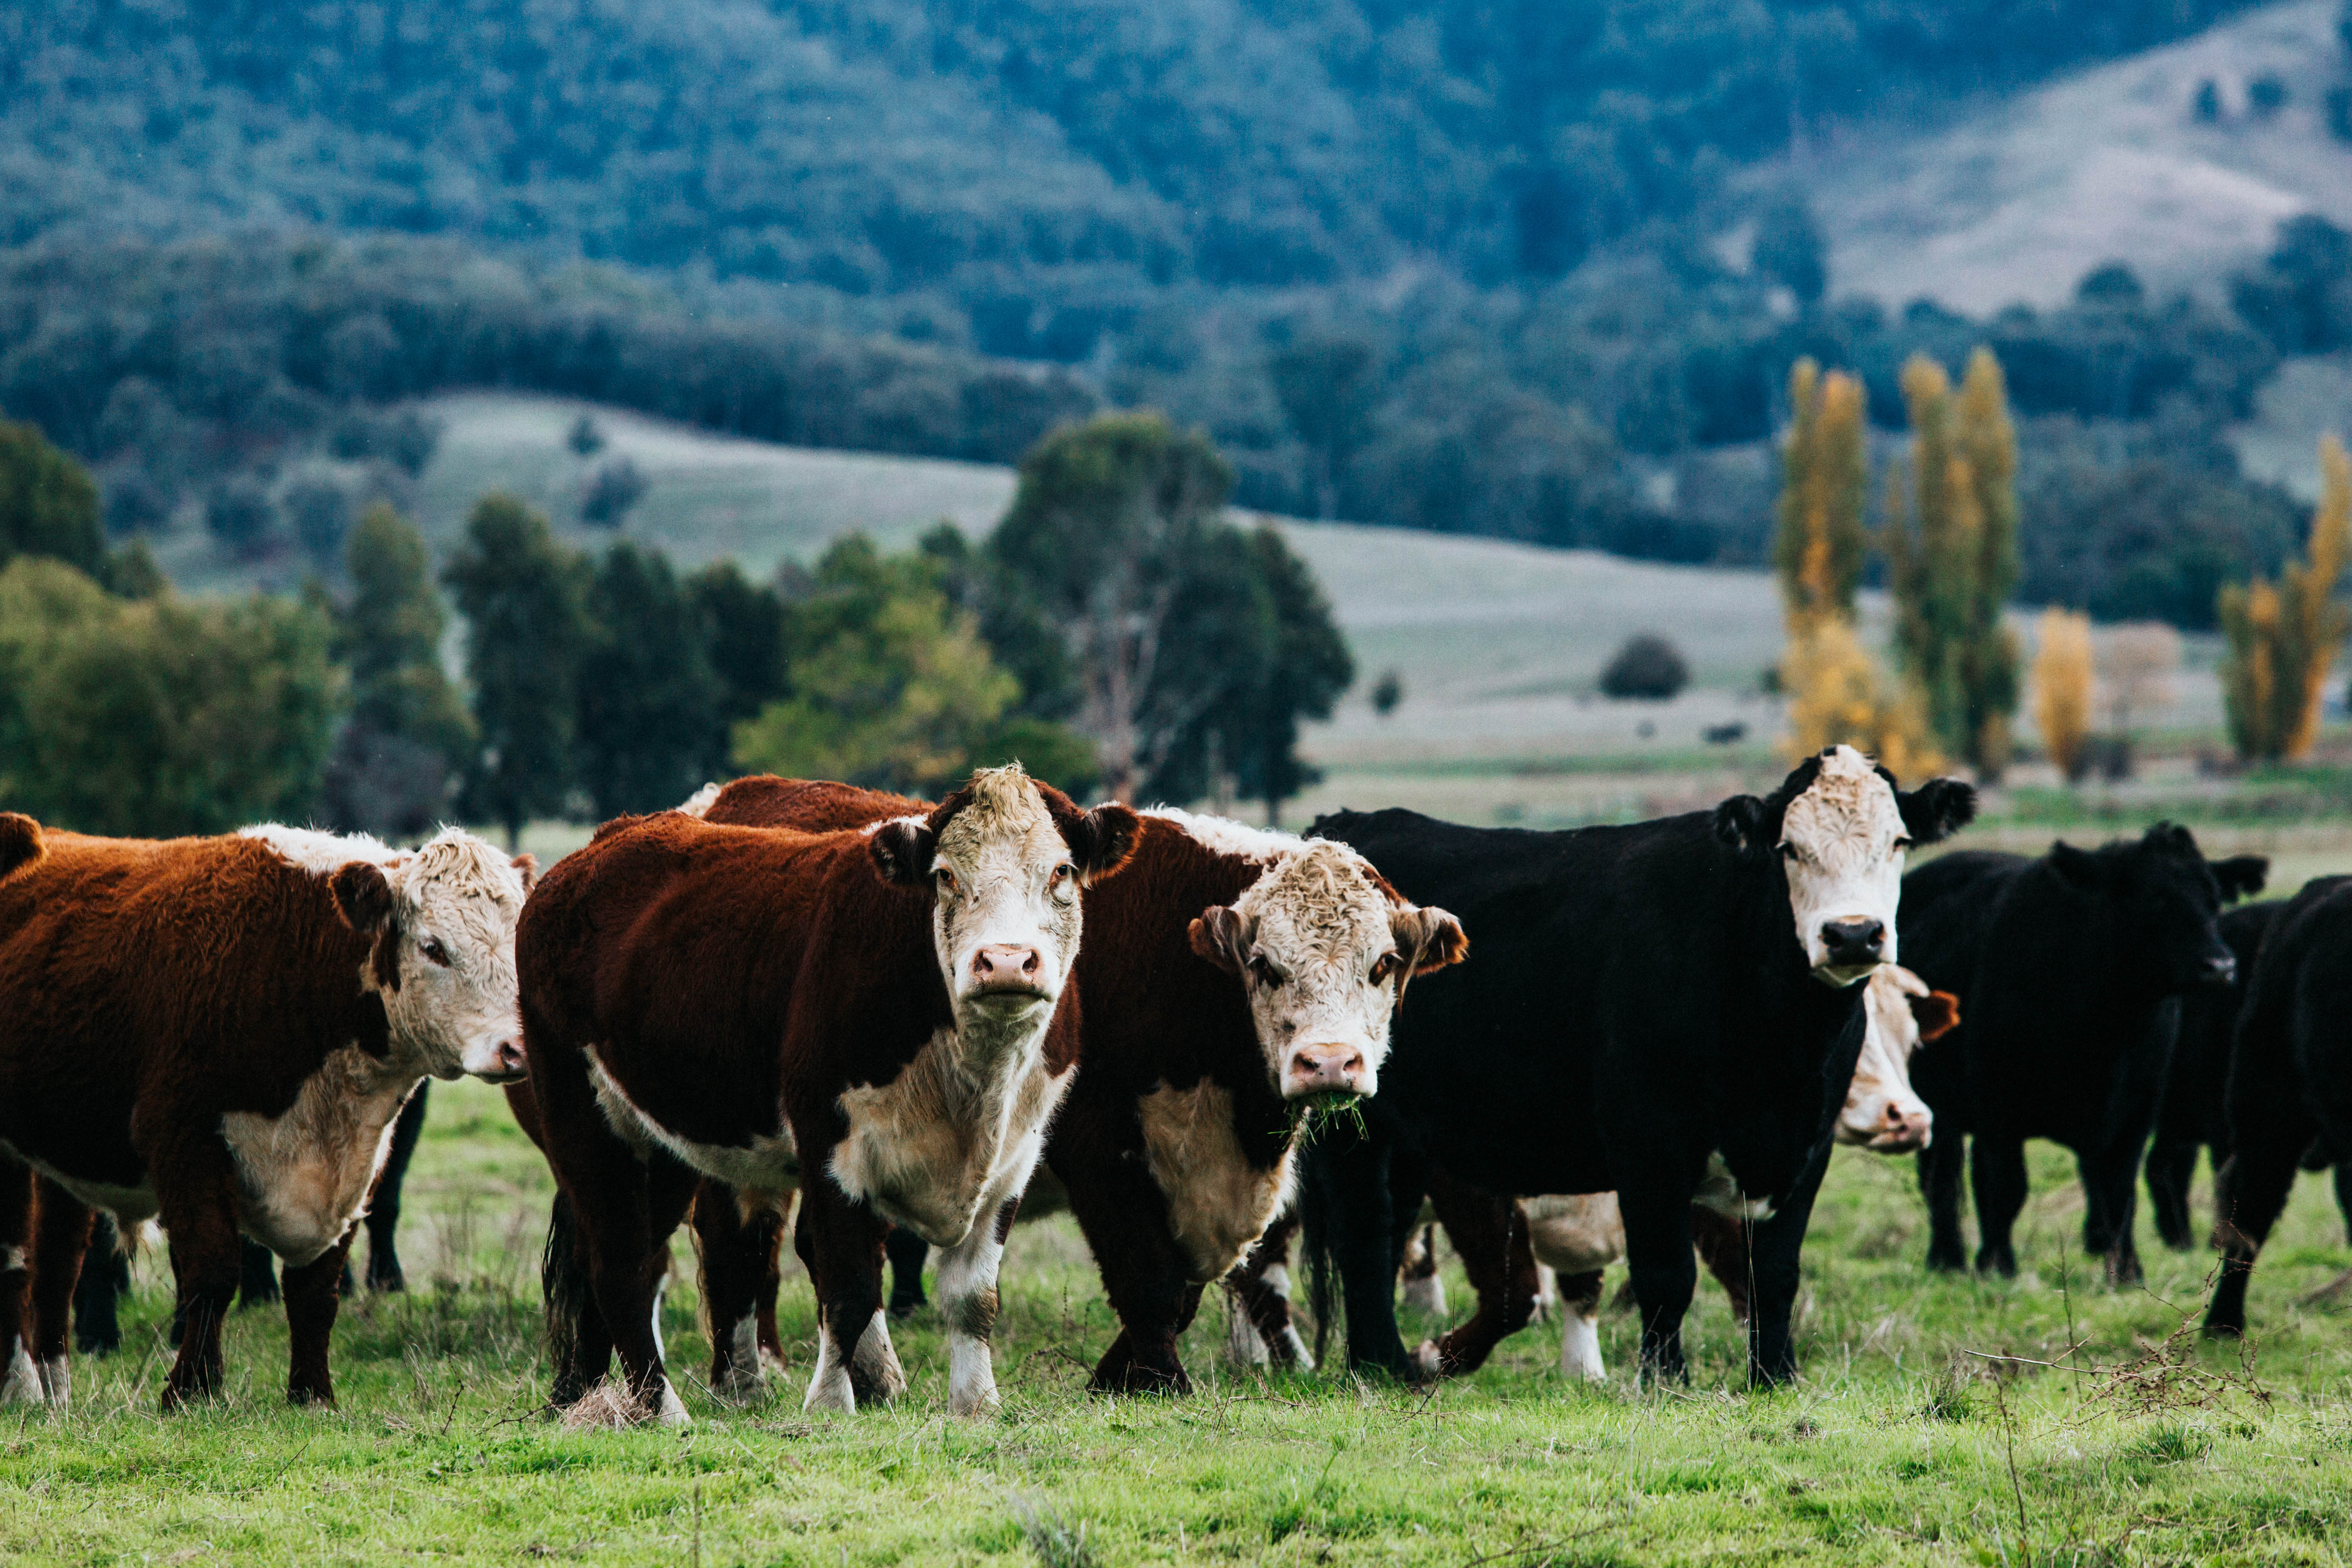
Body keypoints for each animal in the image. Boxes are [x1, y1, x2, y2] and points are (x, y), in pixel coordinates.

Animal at [0, 820, 532, 1410]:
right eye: (433, 947)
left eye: (519, 942)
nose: (516, 1049)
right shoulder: (185, 1139)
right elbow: (211, 1273)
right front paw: (192, 1390)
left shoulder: (359, 1164)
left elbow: (316, 1291)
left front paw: (312, 1393)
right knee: (20, 1264)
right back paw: (23, 1385)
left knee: (56, 1264)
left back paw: (53, 1388)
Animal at [519, 765, 1141, 1423]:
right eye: (945, 874)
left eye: (1061, 871)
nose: (1004, 962)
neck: (973, 1081)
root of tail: (593, 851)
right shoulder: (829, 1147)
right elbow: (849, 1286)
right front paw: (829, 1402)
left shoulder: (1013, 1160)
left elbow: (974, 1297)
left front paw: (977, 1402)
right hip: (582, 1117)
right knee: (619, 1264)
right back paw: (663, 1410)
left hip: (663, 1142)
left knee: (620, 1261)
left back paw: (583, 1397)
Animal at [598, 774, 1465, 1399]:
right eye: (1265, 964)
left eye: (1383, 965)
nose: (1329, 1063)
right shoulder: (1098, 1145)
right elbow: (1150, 1278)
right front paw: (1149, 1380)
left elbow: (1188, 1284)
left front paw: (1121, 1371)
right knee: (742, 1248)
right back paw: (747, 1377)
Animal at [1298, 746, 1977, 1386]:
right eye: (1790, 848)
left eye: (1898, 842)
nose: (1854, 934)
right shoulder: (1649, 1143)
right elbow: (1666, 1274)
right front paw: (1664, 1380)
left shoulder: (1804, 1150)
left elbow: (1775, 1273)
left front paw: (1775, 1375)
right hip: (1352, 1126)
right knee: (1362, 1236)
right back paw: (1380, 1363)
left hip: (1407, 1138)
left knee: (1388, 1235)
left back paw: (1380, 1363)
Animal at [1902, 826, 2266, 1285]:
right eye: (2149, 898)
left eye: (2213, 899)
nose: (2219, 966)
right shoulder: (1997, 1111)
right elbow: (2004, 1187)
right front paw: (1997, 1264)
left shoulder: (2134, 1113)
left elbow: (2118, 1189)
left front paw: (2125, 1271)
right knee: (1942, 1179)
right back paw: (1947, 1258)